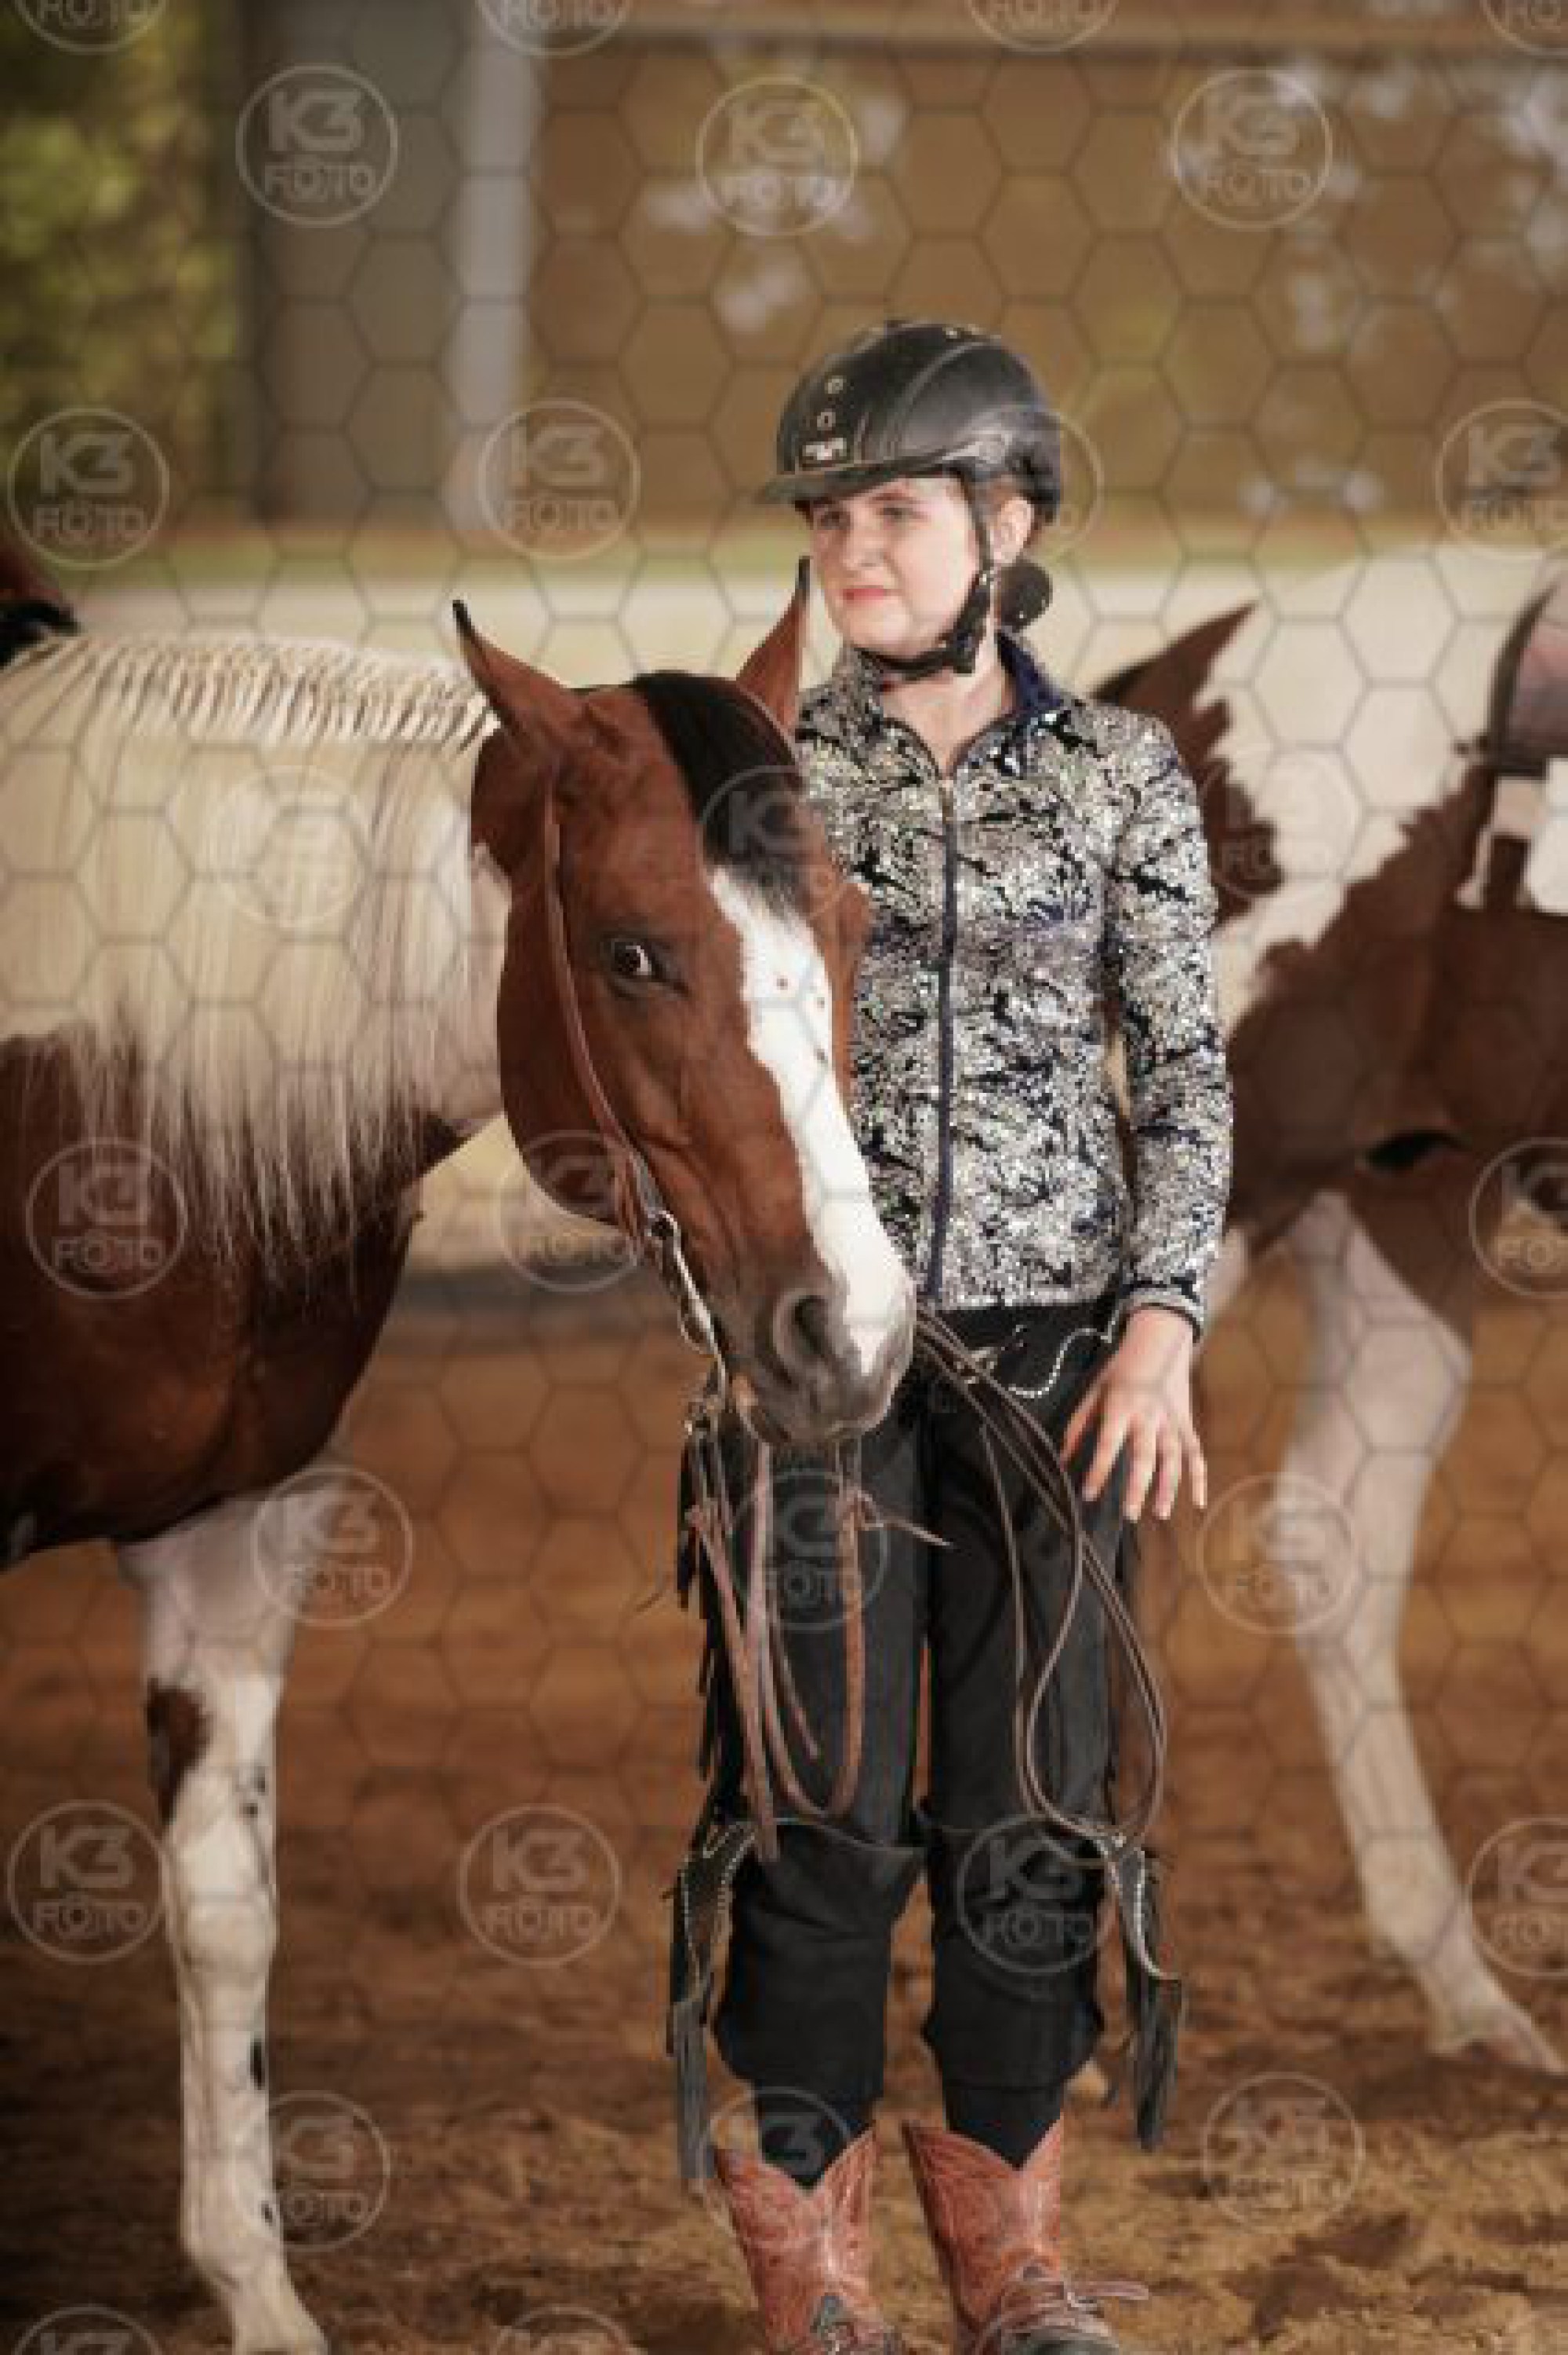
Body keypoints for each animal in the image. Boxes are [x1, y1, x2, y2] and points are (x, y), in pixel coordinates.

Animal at [0, 539, 915, 2354]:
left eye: (850, 925)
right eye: (632, 954)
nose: (849, 1328)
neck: (93, 1080)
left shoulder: (233, 1530)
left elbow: (225, 1910)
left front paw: (259, 2288)